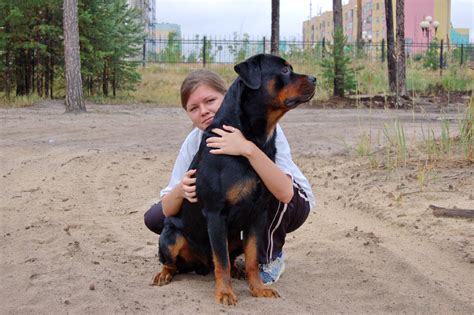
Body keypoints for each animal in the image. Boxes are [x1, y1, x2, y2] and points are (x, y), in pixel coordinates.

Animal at [152, 53, 314, 306]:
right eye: (285, 70)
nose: (315, 78)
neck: (254, 138)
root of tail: (200, 265)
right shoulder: (216, 213)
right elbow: (222, 262)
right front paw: (225, 293)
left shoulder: (259, 214)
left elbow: (252, 258)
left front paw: (257, 288)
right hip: (170, 236)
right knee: (174, 262)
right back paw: (164, 274)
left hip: (237, 235)